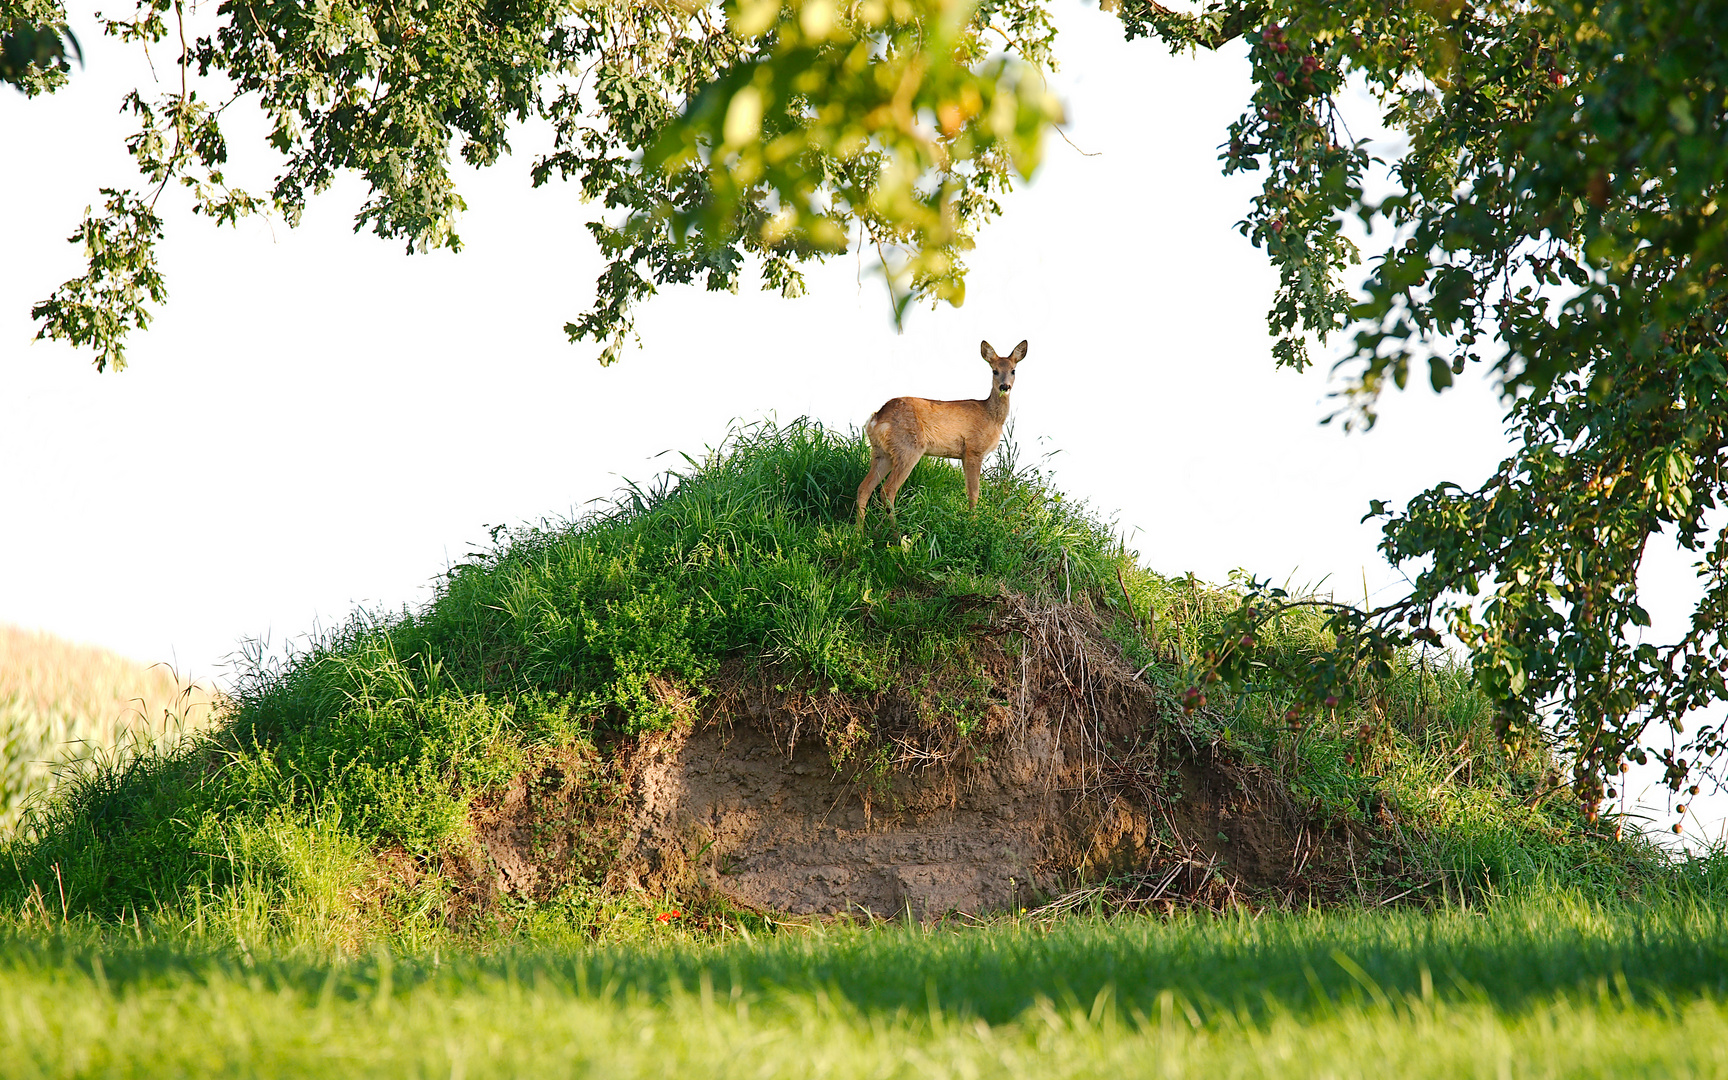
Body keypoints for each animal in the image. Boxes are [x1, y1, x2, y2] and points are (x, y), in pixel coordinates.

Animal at [853, 335, 1022, 525]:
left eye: (1013, 370)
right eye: (994, 371)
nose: (1004, 387)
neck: (992, 417)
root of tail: (876, 419)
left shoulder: (965, 455)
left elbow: (969, 492)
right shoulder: (974, 449)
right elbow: (974, 493)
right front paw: (973, 522)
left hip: (882, 453)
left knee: (864, 488)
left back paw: (860, 531)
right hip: (909, 447)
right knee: (887, 490)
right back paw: (895, 531)